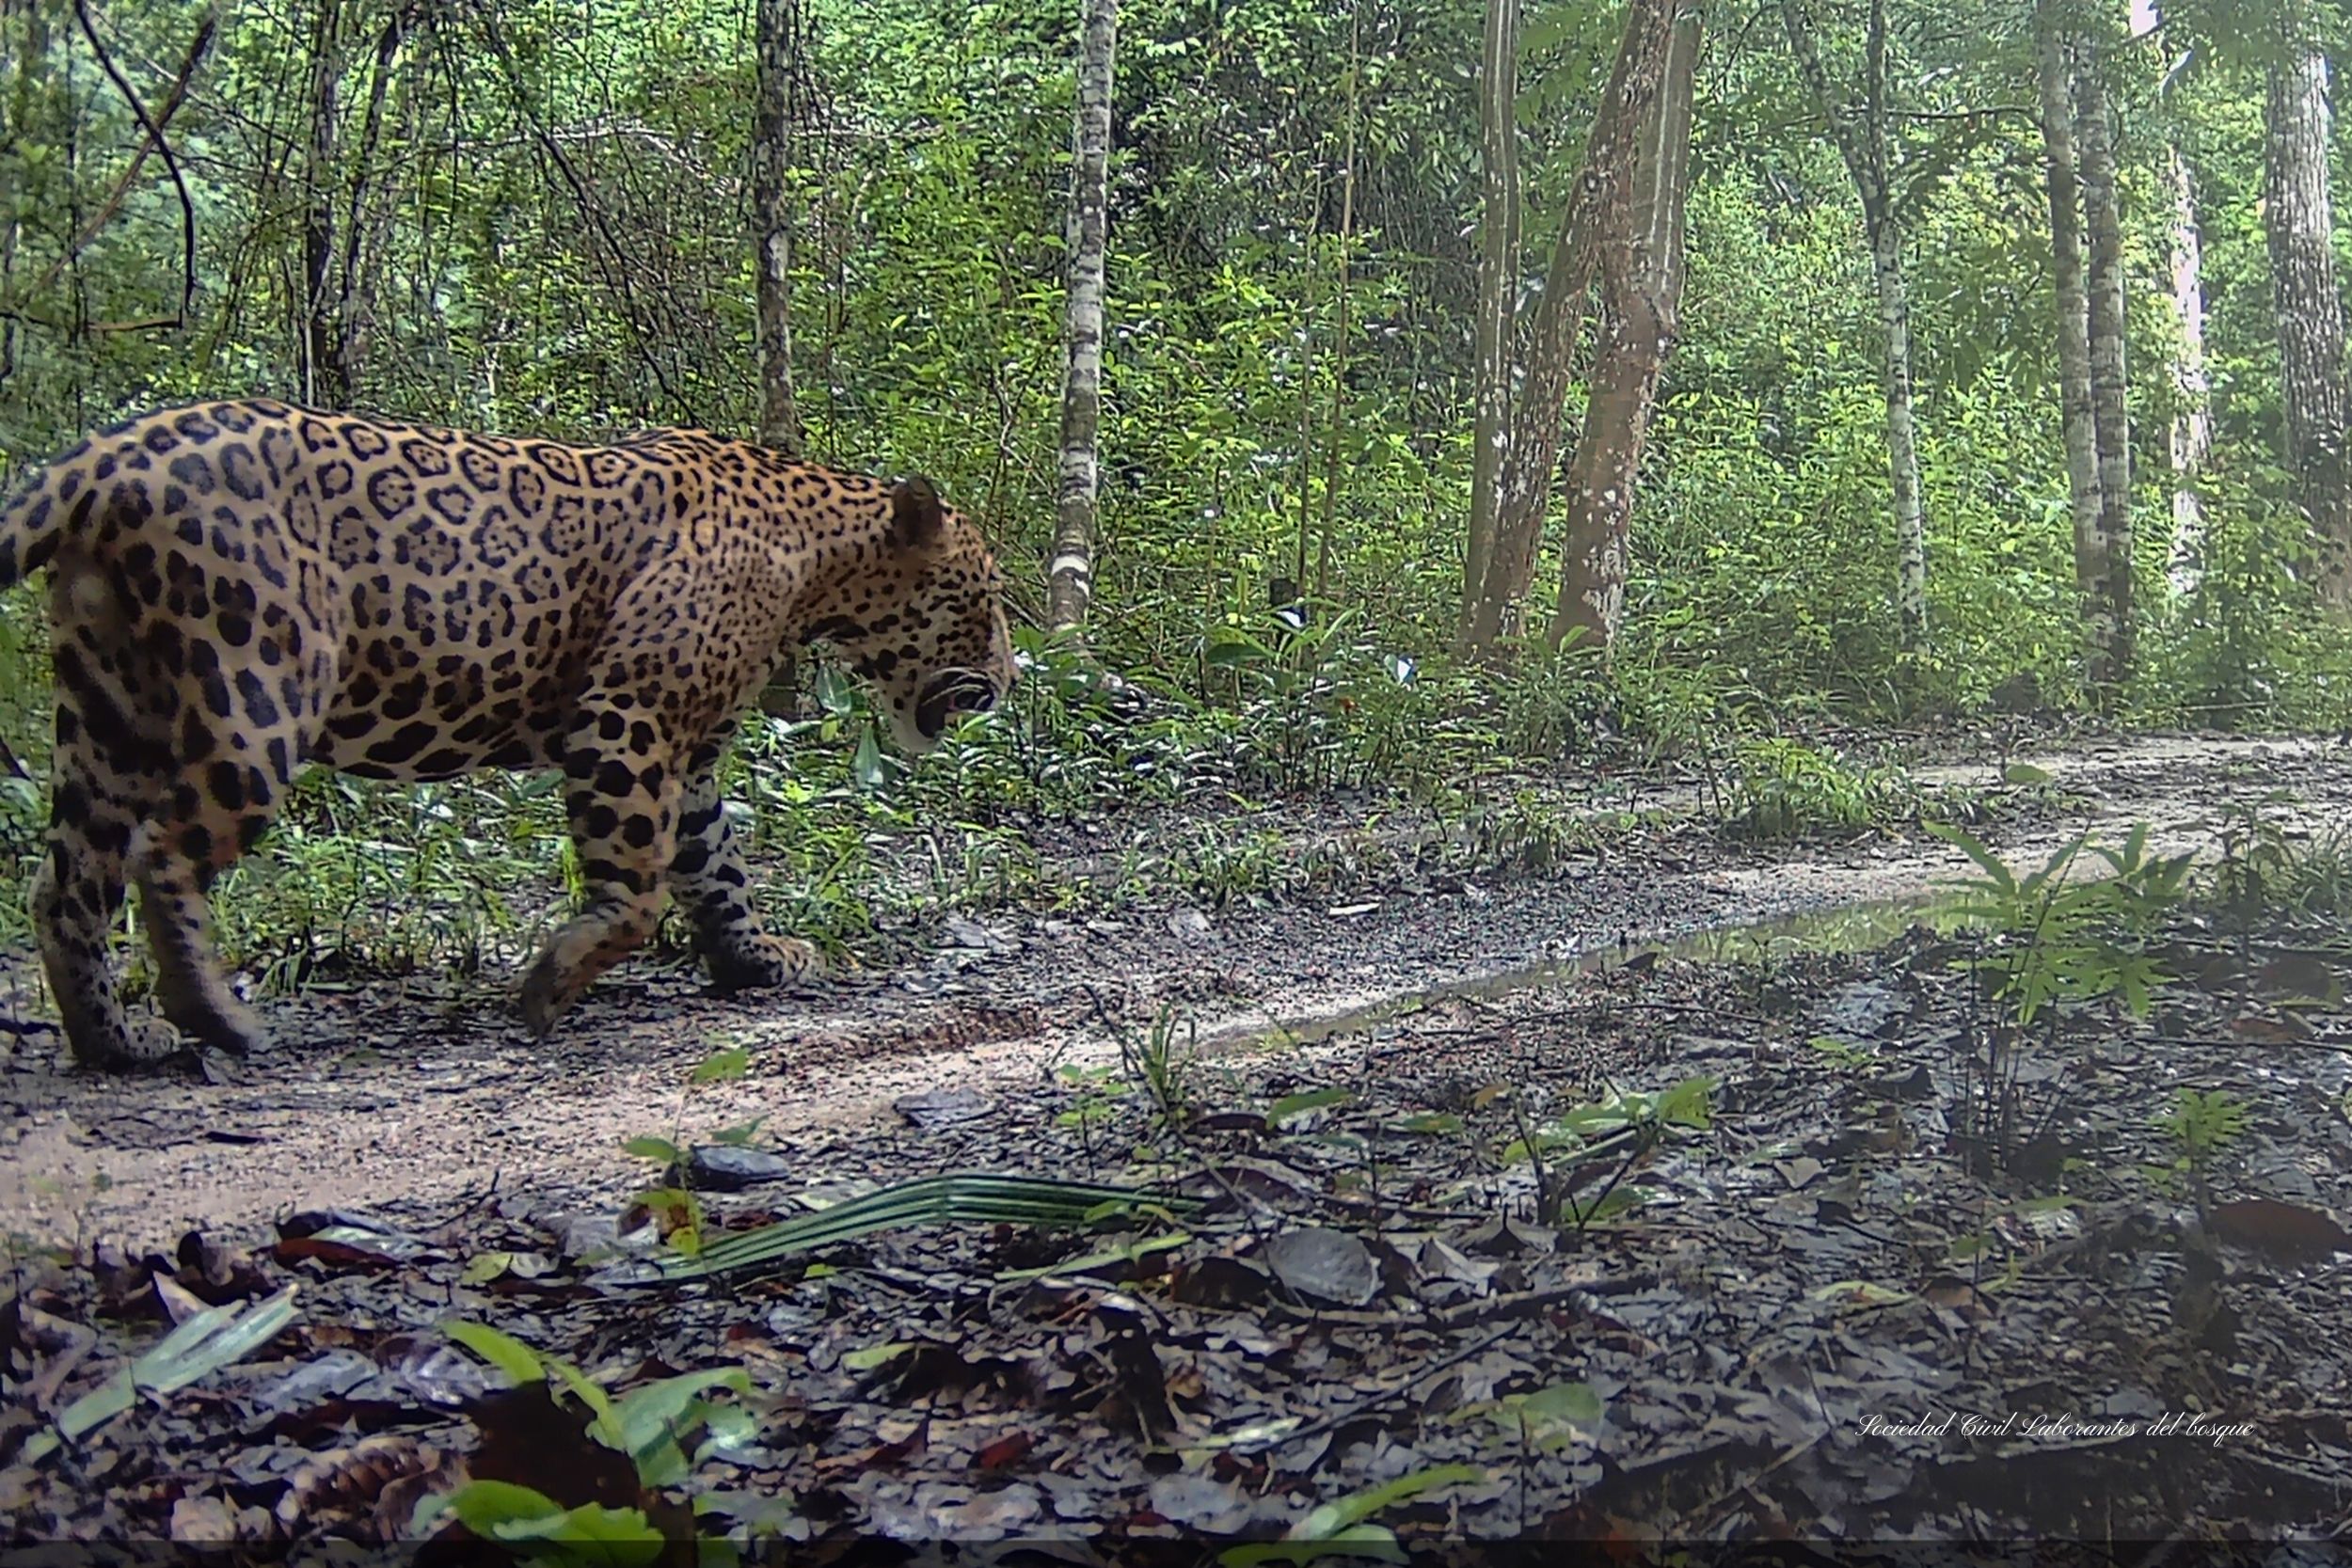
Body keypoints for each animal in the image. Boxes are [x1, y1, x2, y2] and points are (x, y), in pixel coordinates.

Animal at [0, 398, 1015, 1072]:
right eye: (985, 597)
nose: (1008, 683)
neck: (820, 555)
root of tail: (106, 459)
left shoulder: (688, 753)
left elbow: (714, 868)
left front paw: (758, 958)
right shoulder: (628, 713)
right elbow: (640, 887)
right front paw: (551, 986)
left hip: (109, 713)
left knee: (67, 886)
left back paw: (114, 1040)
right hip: (259, 693)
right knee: (163, 854)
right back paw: (215, 1017)